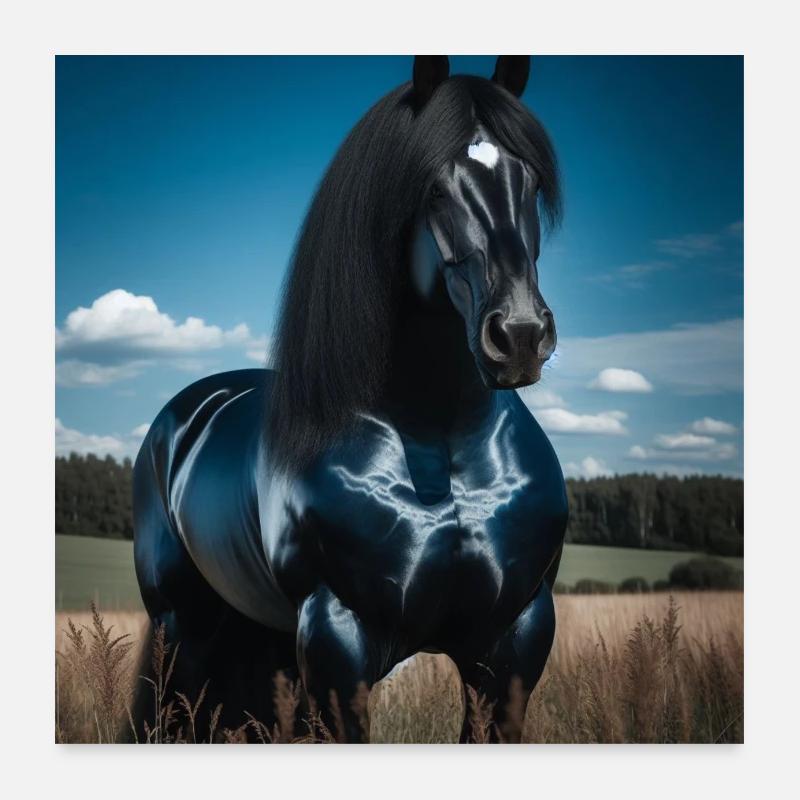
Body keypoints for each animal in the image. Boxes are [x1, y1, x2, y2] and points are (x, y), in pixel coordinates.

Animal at [131, 55, 568, 743]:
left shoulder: (515, 640)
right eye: (432, 187)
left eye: (528, 181)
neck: (442, 443)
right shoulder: (338, 640)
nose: (520, 334)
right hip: (182, 631)